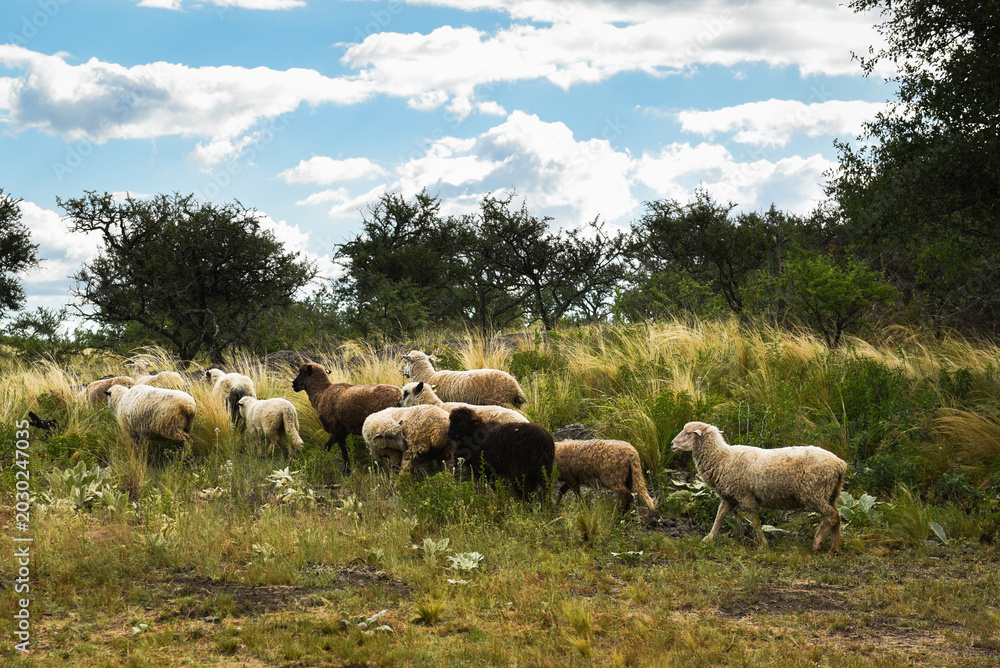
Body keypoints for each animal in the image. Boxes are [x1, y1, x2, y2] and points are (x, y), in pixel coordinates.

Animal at [670, 421, 847, 553]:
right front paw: (709, 538)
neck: (722, 458)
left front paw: (763, 544)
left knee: (831, 515)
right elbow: (719, 517)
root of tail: (840, 464)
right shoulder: (729, 497)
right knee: (837, 516)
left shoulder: (745, 495)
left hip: (814, 493)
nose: (671, 444)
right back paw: (835, 548)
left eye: (688, 433)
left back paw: (817, 543)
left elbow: (755, 521)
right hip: (831, 493)